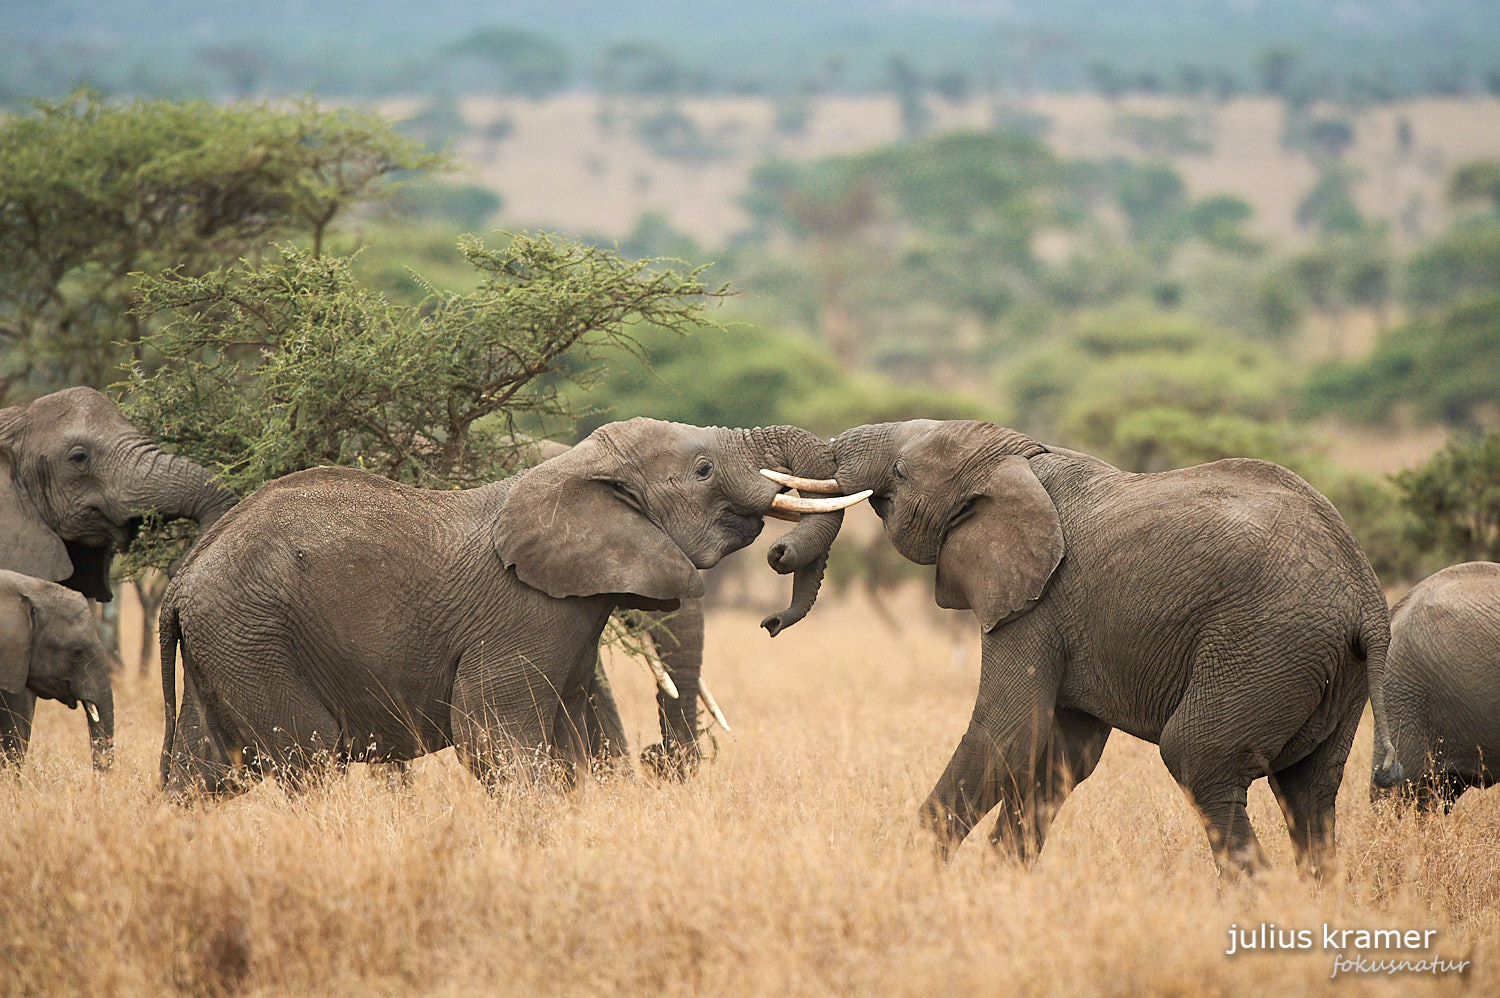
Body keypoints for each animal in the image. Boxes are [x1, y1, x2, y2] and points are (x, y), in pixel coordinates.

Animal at [158, 417, 870, 798]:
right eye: (702, 470)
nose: (770, 618)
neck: (572, 467)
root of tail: (181, 579)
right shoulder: (523, 613)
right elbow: (494, 741)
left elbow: (571, 744)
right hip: (254, 638)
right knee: (307, 757)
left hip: (223, 648)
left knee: (199, 773)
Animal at [798, 417, 1392, 870]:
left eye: (900, 473)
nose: (781, 554)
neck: (1018, 456)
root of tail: (1368, 601)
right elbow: (1061, 755)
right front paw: (999, 885)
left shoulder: (1037, 603)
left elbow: (1007, 730)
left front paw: (900, 877)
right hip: (1329, 673)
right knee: (1309, 791)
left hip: (1265, 645)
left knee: (1198, 756)